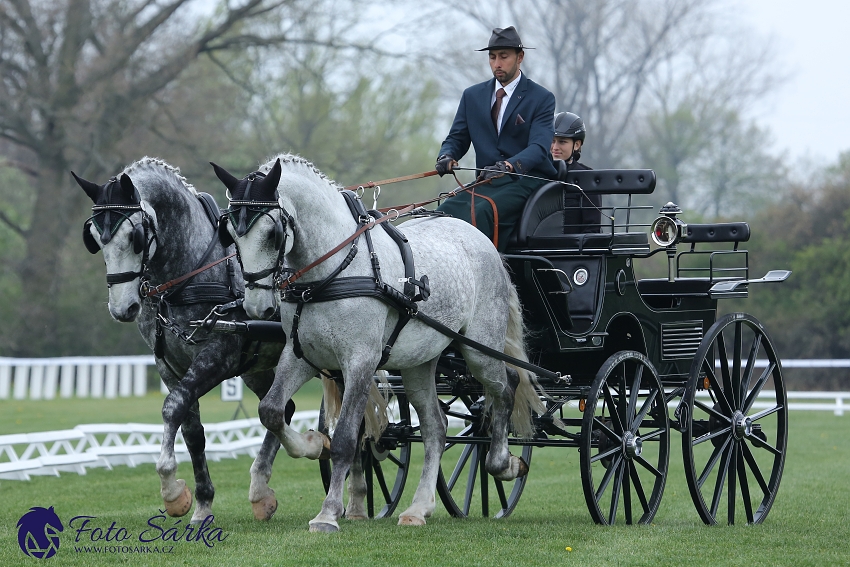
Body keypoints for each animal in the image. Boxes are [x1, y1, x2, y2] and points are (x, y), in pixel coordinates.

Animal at [71, 158, 288, 520]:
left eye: (134, 237)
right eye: (95, 239)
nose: (123, 308)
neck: (190, 274)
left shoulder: (218, 356)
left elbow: (172, 408)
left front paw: (171, 489)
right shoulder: (170, 365)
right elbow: (192, 432)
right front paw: (200, 503)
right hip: (258, 367)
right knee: (280, 409)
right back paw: (261, 491)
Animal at [212, 154, 544, 532]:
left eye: (272, 233)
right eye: (230, 233)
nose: (256, 307)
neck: (333, 270)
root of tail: (481, 239)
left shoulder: (360, 360)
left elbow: (344, 439)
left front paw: (328, 514)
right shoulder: (301, 356)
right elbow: (271, 411)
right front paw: (311, 445)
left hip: (478, 349)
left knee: (506, 387)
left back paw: (503, 463)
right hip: (419, 364)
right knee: (436, 428)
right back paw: (419, 508)